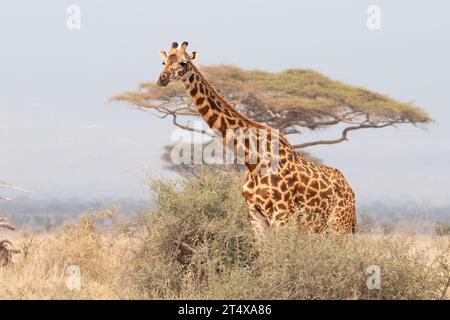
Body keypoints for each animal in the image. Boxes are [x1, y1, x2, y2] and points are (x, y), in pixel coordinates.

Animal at [156, 42, 356, 242]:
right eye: (164, 62)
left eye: (183, 62)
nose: (161, 79)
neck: (252, 160)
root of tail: (351, 193)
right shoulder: (255, 214)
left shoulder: (282, 216)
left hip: (338, 226)